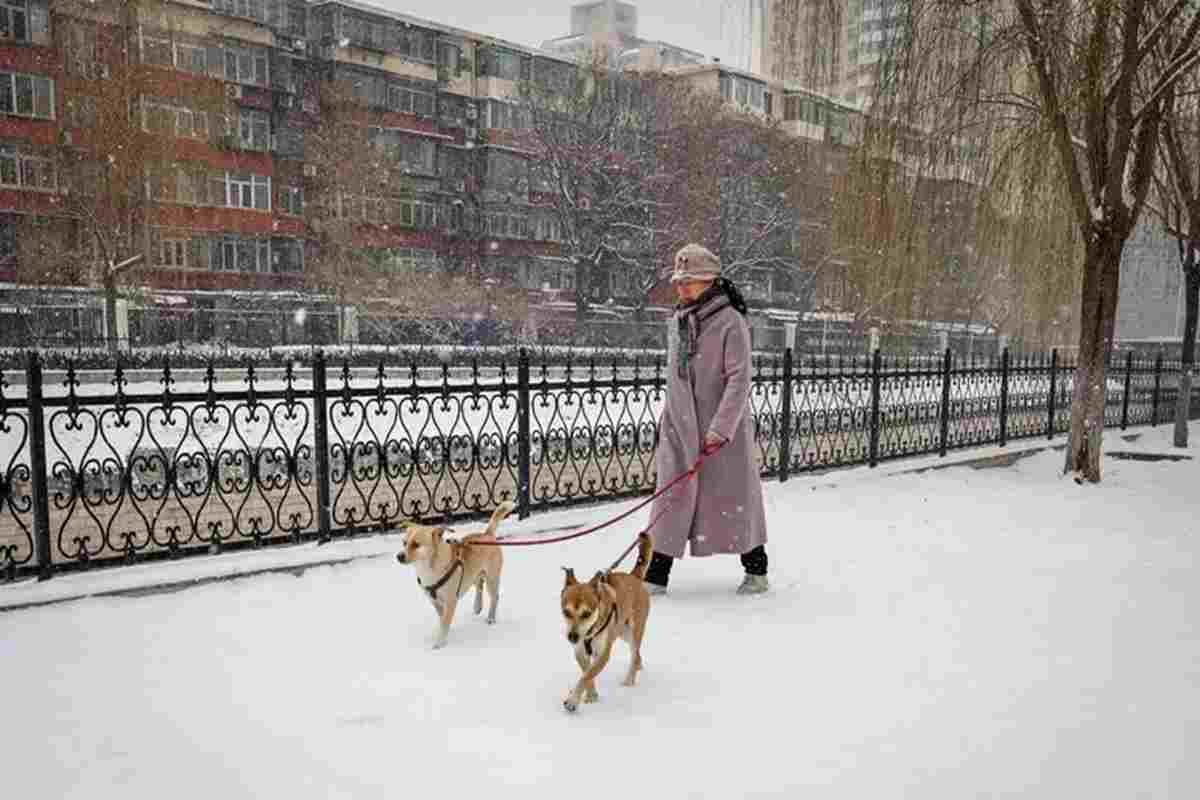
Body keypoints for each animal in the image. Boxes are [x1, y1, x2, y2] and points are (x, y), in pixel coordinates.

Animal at [396, 501, 513, 652]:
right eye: (404, 543)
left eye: (416, 544)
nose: (399, 556)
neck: (429, 566)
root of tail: (487, 534)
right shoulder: (435, 602)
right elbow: (442, 618)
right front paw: (444, 631)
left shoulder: (451, 601)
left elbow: (445, 620)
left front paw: (440, 642)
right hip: (472, 574)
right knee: (479, 585)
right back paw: (477, 606)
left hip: (491, 577)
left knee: (494, 596)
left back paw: (491, 618)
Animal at [556, 532, 652, 714]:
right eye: (566, 612)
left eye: (587, 613)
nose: (572, 637)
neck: (589, 632)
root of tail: (634, 576)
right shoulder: (580, 652)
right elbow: (587, 673)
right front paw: (591, 694)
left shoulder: (603, 653)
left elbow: (587, 675)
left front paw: (573, 700)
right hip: (622, 632)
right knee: (636, 654)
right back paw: (638, 665)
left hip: (634, 631)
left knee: (634, 652)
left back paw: (629, 679)